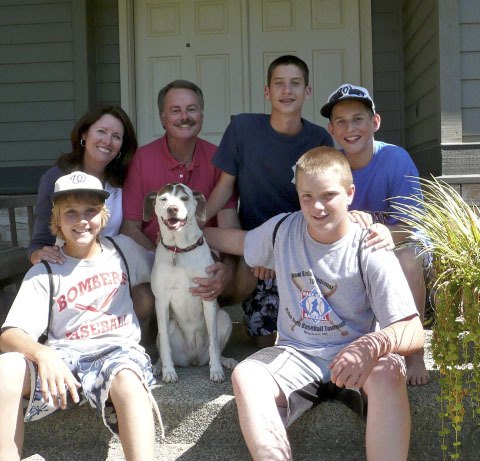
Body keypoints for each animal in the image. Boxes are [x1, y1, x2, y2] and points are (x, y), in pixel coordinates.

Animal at [144, 182, 238, 380]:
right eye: (163, 199)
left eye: (184, 198)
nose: (172, 208)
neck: (178, 250)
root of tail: (193, 360)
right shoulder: (161, 302)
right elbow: (165, 343)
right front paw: (168, 371)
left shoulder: (208, 296)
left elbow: (213, 342)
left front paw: (216, 370)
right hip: (170, 325)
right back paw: (158, 366)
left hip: (223, 317)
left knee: (217, 346)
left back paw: (225, 361)